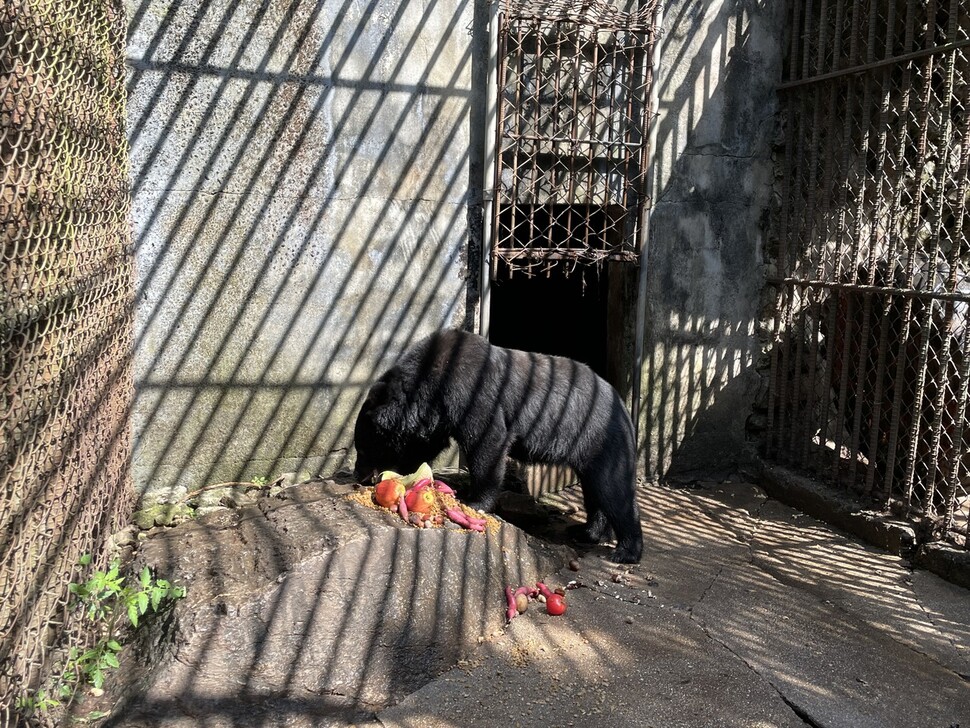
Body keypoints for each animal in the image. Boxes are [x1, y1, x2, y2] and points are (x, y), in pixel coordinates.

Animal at [352, 328, 640, 564]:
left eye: (362, 449)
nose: (358, 476)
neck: (434, 384)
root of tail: (625, 408)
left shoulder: (473, 393)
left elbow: (488, 442)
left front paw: (475, 500)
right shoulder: (439, 415)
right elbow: (426, 445)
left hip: (599, 438)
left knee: (613, 489)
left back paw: (626, 551)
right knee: (596, 491)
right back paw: (586, 531)